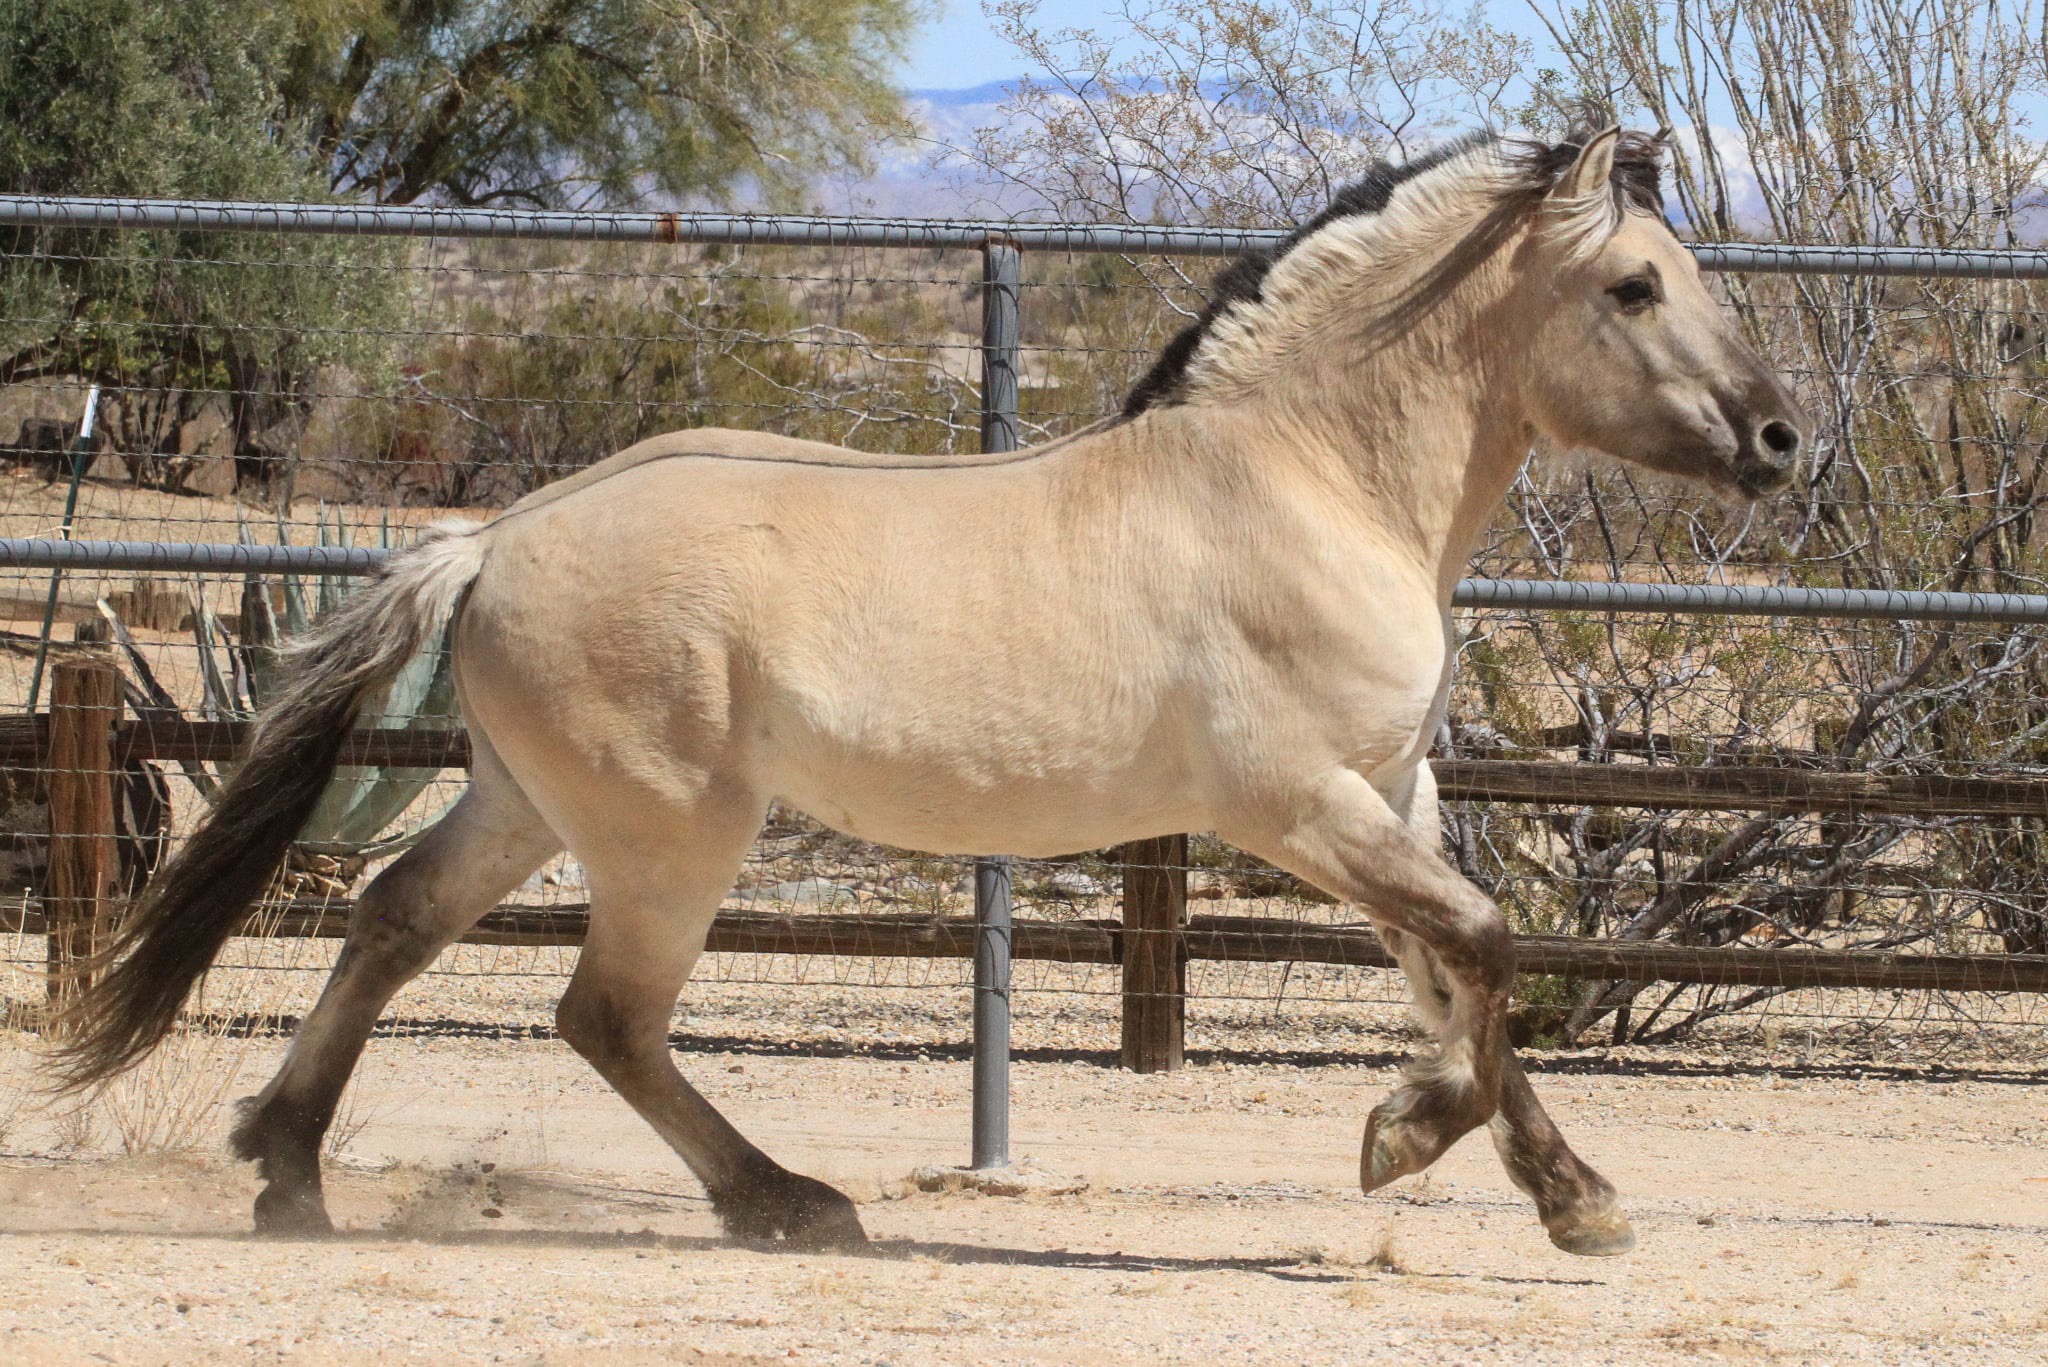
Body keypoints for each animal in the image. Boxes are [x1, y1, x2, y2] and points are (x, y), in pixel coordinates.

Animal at [56, 125, 1804, 1257]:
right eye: (1638, 287)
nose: (1785, 442)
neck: (1308, 479)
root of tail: (497, 534)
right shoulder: (1297, 803)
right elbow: (1489, 945)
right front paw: (1404, 1138)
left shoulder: (1395, 789)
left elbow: (1459, 973)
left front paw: (1575, 1197)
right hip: (669, 835)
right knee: (605, 1013)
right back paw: (788, 1205)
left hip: (528, 800)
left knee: (396, 922)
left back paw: (288, 1172)